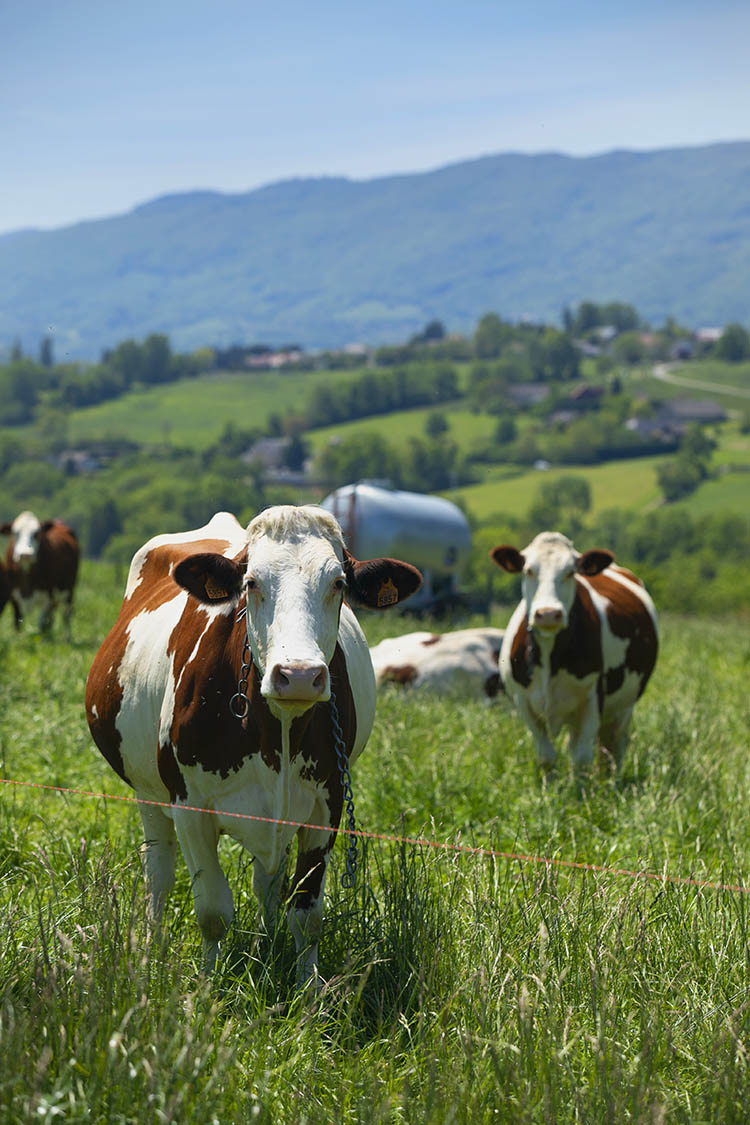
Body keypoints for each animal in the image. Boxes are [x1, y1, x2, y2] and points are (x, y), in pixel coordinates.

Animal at [85, 507, 421, 986]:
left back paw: (267, 941)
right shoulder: (190, 808)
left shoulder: (326, 806)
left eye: (338, 583)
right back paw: (150, 951)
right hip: (147, 792)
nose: (298, 675)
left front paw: (308, 993)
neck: (275, 732)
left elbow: (306, 914)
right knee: (159, 875)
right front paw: (207, 988)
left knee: (267, 880)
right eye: (251, 582)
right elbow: (212, 912)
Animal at [491, 531, 657, 779]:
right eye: (528, 570)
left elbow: (581, 759)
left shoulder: (592, 699)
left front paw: (580, 789)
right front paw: (549, 787)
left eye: (571, 572)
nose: (548, 614)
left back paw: (610, 780)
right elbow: (546, 756)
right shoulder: (523, 702)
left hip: (623, 705)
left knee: (614, 744)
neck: (549, 656)